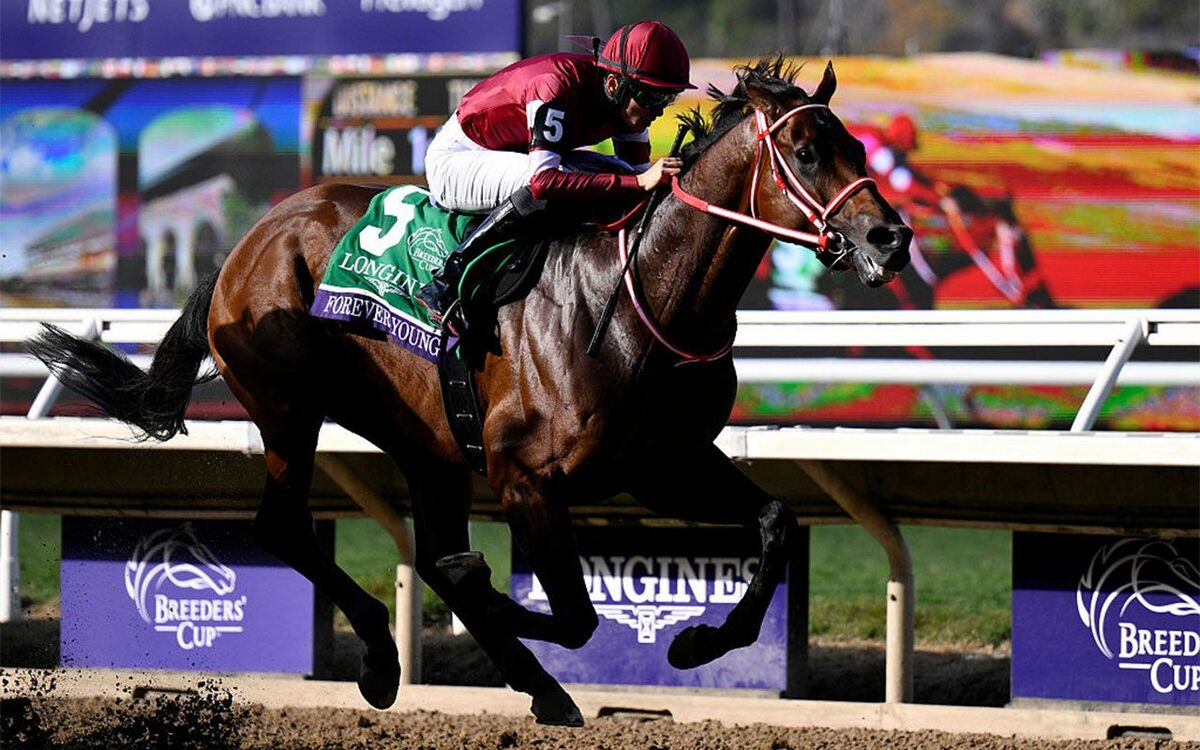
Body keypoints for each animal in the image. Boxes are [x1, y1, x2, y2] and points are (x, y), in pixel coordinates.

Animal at [30, 58, 911, 726]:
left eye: (854, 142)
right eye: (805, 150)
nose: (890, 236)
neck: (642, 298)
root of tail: (252, 238)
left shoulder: (665, 464)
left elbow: (775, 524)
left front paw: (695, 643)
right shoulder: (527, 477)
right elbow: (570, 612)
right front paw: (482, 594)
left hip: (425, 444)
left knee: (405, 537)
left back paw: (524, 684)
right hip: (288, 406)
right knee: (285, 526)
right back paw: (387, 659)